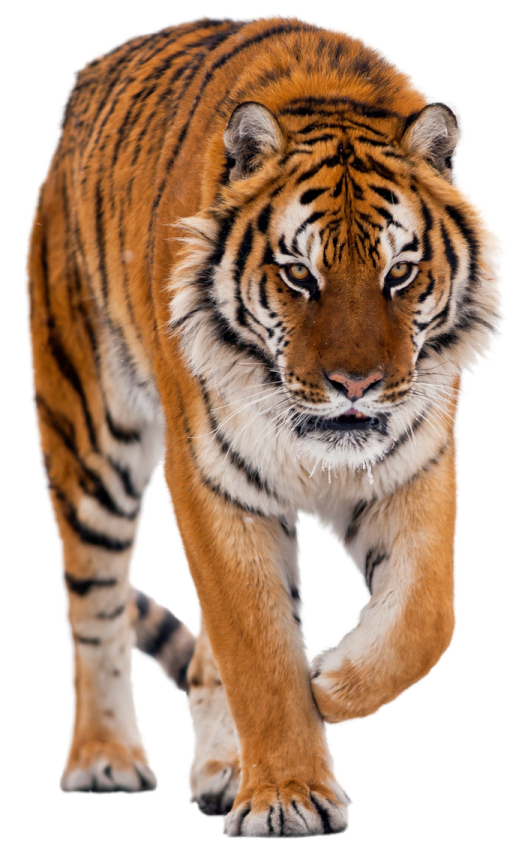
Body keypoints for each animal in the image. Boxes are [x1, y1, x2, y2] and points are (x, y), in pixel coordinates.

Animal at [24, 13, 505, 837]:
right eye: (299, 275)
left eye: (400, 273)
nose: (355, 384)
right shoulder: (214, 482)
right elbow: (256, 645)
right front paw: (286, 792)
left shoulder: (417, 464)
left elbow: (425, 618)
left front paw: (334, 680)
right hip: (91, 433)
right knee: (94, 602)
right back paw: (105, 756)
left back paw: (222, 767)